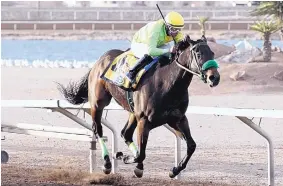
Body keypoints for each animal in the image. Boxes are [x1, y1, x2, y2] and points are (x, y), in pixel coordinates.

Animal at [57, 35, 221, 179]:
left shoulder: (177, 119)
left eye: (213, 53)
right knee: (98, 129)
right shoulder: (144, 120)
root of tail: (101, 59)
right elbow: (141, 153)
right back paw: (107, 163)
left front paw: (174, 170)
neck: (168, 83)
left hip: (132, 111)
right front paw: (127, 159)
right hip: (98, 103)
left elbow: (191, 145)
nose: (214, 77)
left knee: (125, 133)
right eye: (198, 53)